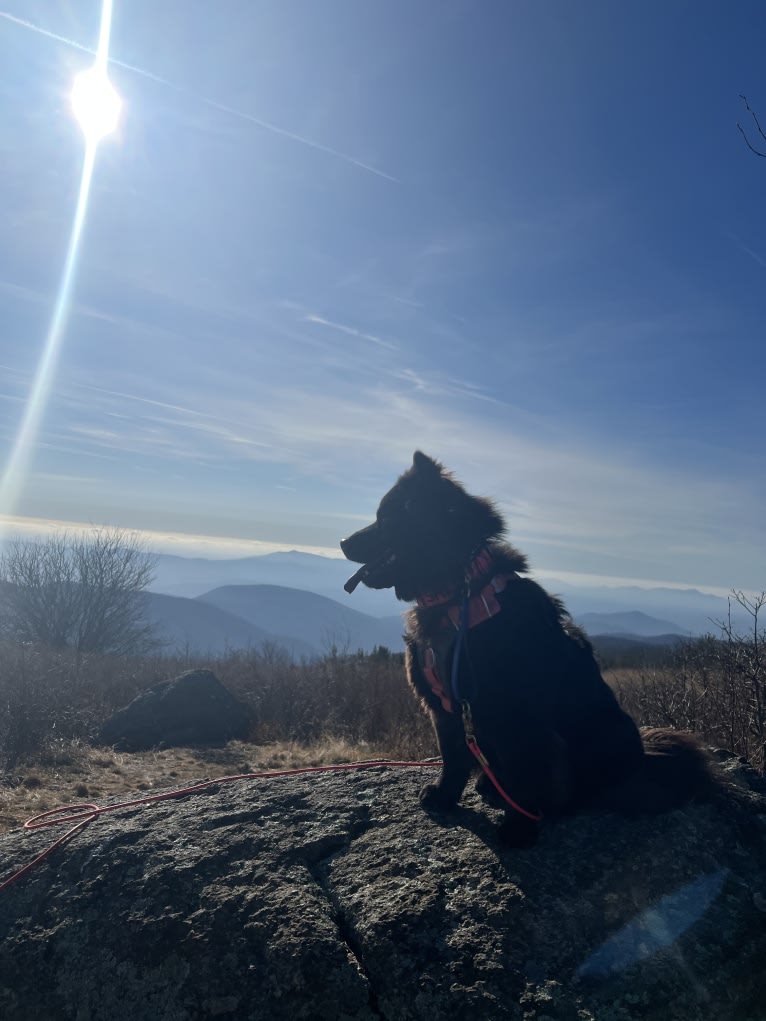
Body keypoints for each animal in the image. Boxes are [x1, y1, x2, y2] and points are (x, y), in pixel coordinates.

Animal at [341, 453, 714, 845]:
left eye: (386, 519)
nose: (342, 541)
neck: (456, 594)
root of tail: (641, 760)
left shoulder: (513, 718)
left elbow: (522, 776)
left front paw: (517, 829)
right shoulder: (445, 709)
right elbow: (452, 758)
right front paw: (444, 797)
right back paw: (489, 785)